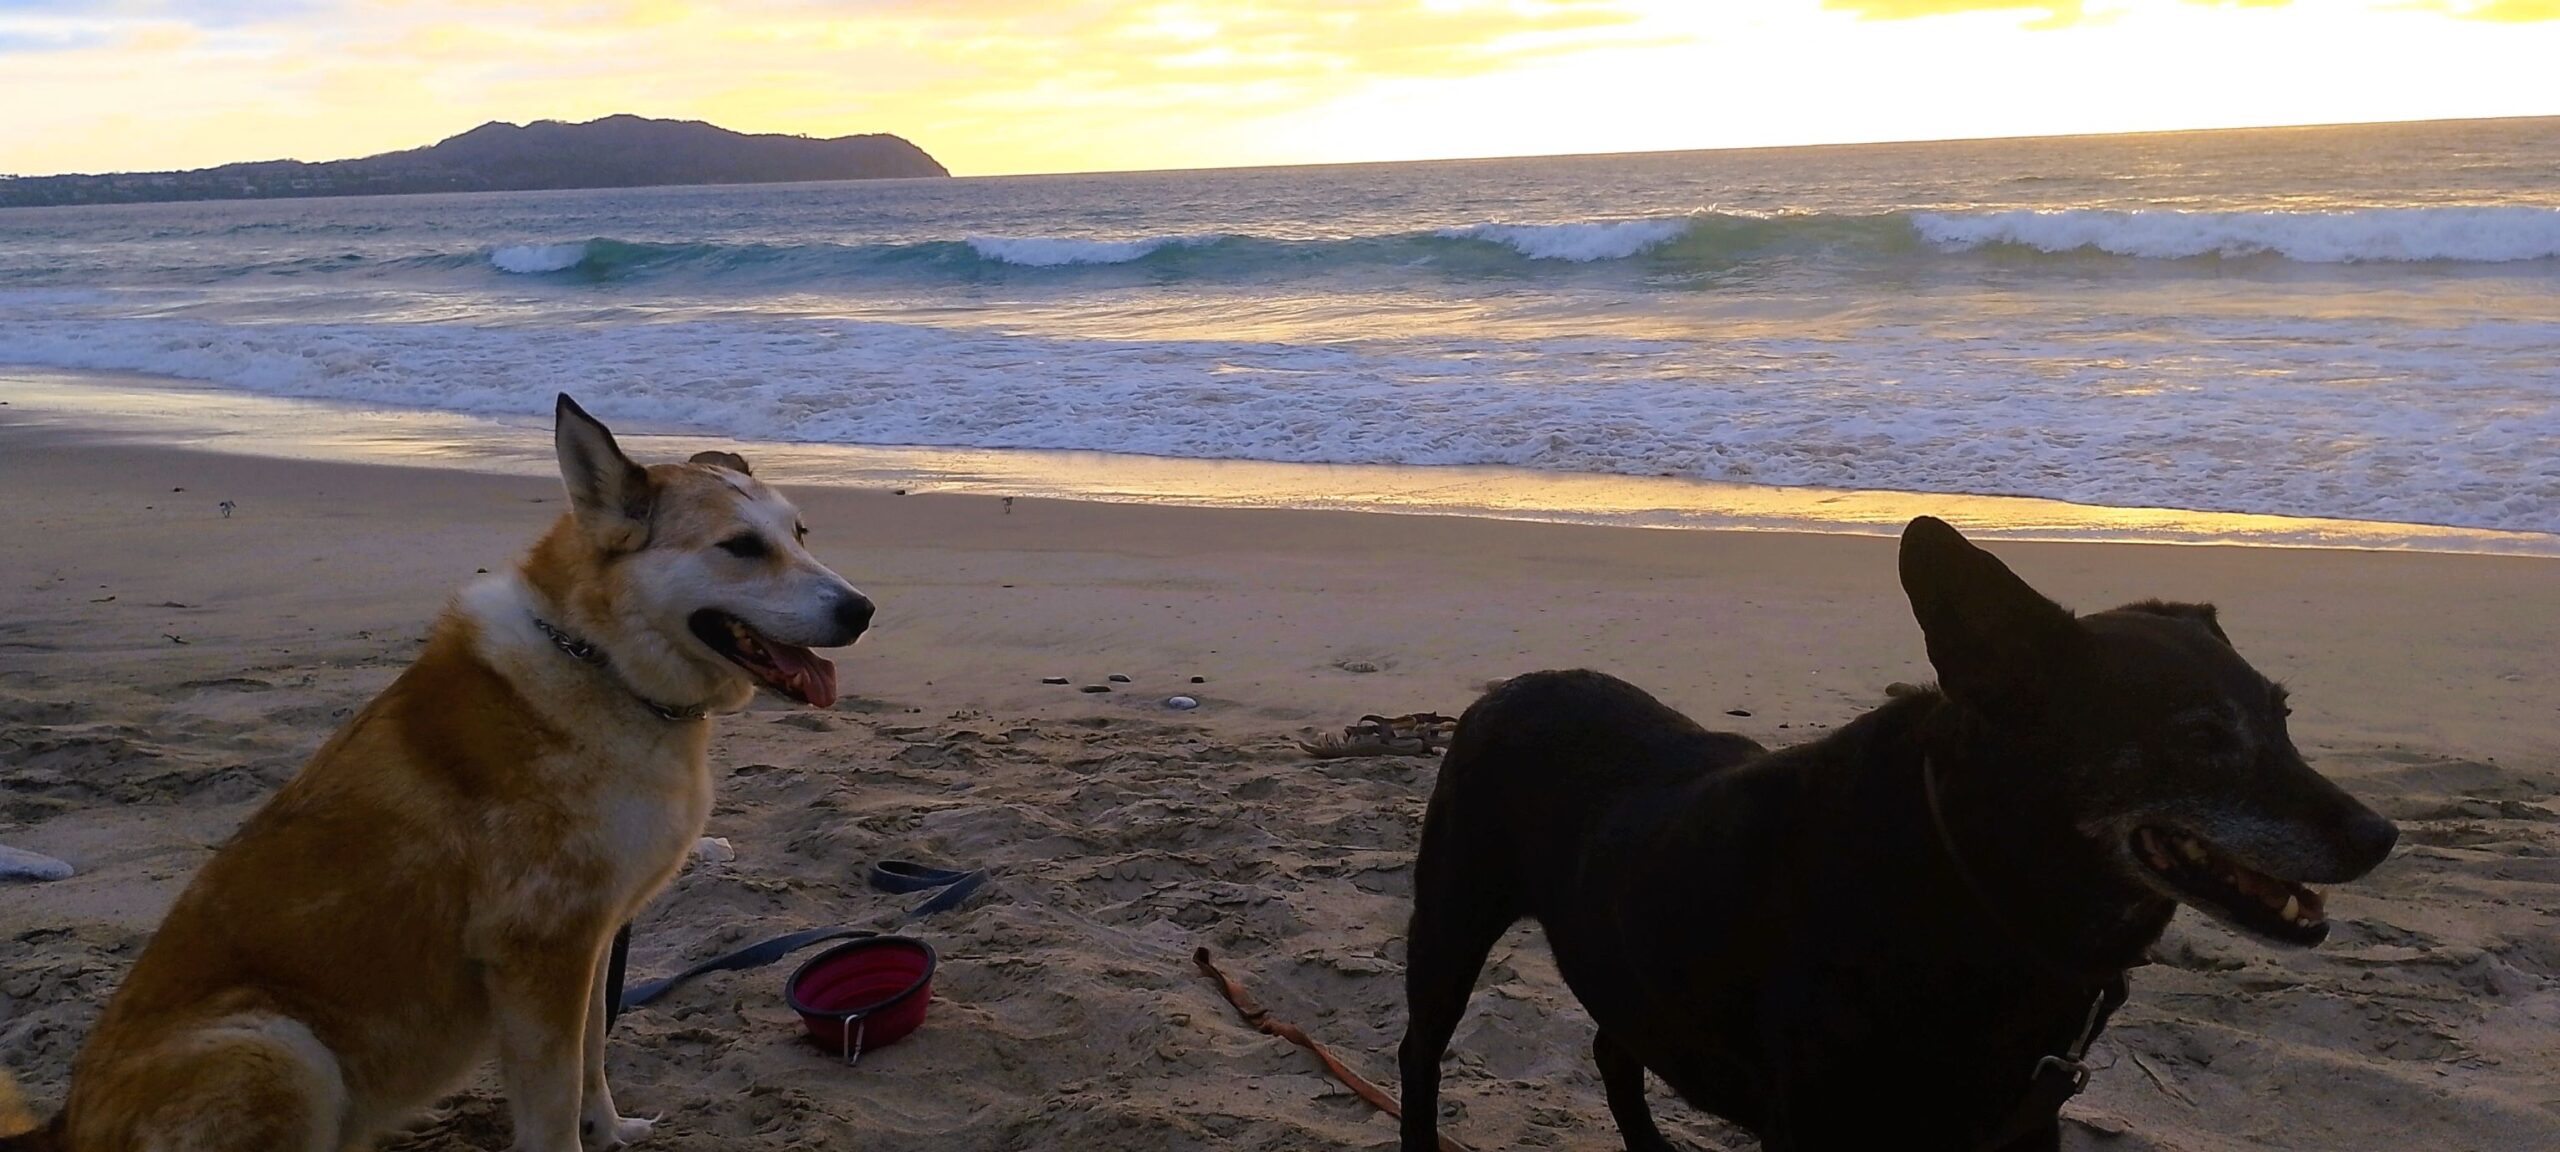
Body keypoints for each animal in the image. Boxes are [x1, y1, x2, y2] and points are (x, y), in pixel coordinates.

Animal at [0, 399, 870, 1152]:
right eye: (741, 548)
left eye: (800, 533)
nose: (860, 610)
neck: (604, 666)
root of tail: (68, 1123)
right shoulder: (538, 954)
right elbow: (553, 1108)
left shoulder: (588, 946)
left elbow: (592, 1062)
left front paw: (611, 1131)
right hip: (276, 1047)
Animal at [1402, 517, 2396, 1146]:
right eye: (2199, 739)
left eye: (2281, 716)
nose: (2379, 835)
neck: (1977, 893)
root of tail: (1503, 691)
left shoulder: (2019, 1126)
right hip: (1450, 918)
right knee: (1422, 1051)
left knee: (1616, 1048)